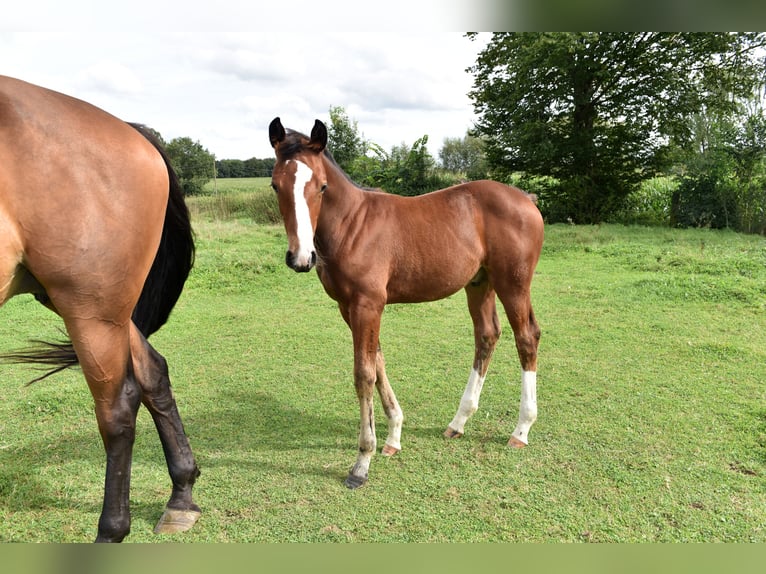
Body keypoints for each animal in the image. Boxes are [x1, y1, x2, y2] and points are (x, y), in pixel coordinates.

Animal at [0, 77, 201, 544]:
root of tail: (131, 132)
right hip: (101, 308)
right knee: (153, 372)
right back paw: (181, 496)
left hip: (90, 308)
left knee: (118, 408)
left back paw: (112, 530)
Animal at [270, 117, 544, 490]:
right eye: (275, 186)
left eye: (322, 186)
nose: (301, 258)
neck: (352, 225)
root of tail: (526, 198)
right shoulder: (349, 307)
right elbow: (378, 363)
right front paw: (393, 437)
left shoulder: (368, 304)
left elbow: (364, 373)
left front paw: (362, 462)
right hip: (480, 283)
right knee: (487, 335)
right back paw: (458, 422)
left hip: (513, 283)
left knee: (526, 336)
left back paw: (521, 430)